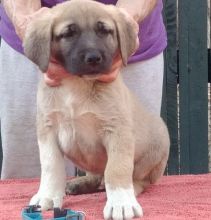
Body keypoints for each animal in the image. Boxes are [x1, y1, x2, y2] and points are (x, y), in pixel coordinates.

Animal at [23, 0, 169, 219]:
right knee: (96, 175)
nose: (93, 58)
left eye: (104, 31)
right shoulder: (47, 129)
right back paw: (80, 184)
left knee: (136, 179)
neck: (77, 84)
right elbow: (50, 166)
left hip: (158, 146)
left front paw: (120, 202)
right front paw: (47, 196)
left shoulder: (117, 130)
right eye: (68, 33)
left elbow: (117, 168)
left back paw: (129, 190)